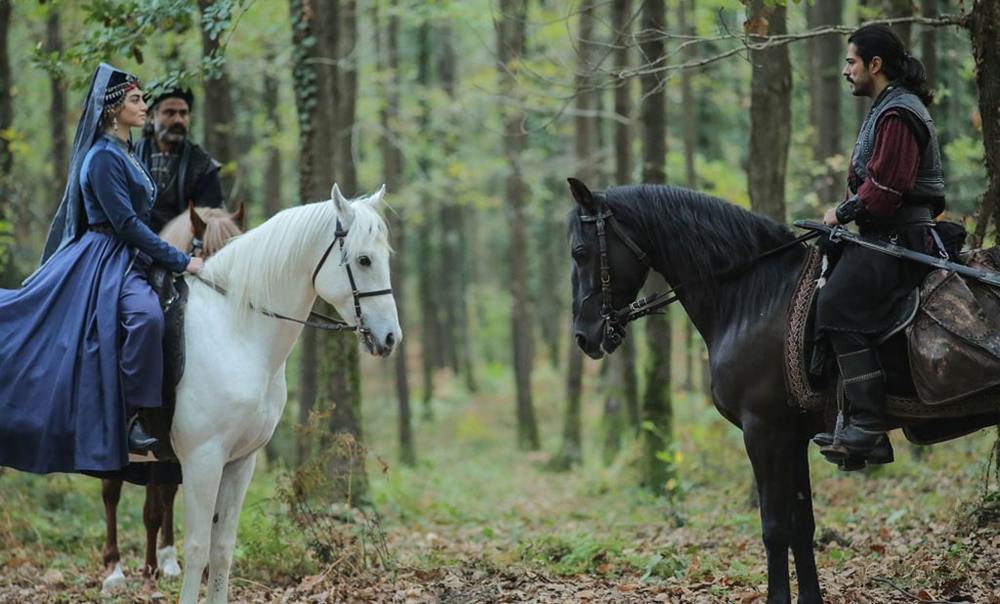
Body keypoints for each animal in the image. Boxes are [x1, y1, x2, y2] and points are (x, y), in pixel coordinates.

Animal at [99, 205, 244, 592]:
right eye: (204, 251)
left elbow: (164, 500)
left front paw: (167, 562)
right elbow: (143, 502)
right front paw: (148, 566)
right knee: (110, 491)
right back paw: (115, 567)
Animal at [171, 185, 398, 604]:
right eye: (363, 259)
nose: (391, 337)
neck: (235, 331)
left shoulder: (239, 462)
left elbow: (221, 547)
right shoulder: (201, 459)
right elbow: (195, 550)